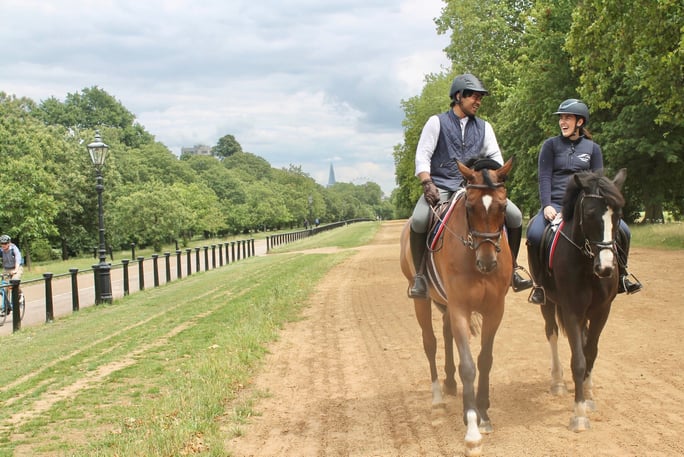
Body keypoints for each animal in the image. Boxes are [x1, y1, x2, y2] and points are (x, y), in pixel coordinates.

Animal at [400, 157, 513, 457]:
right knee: (430, 343)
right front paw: (472, 428)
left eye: (502, 206)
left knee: (446, 333)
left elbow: (485, 360)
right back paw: (438, 397)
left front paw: (483, 414)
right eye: (470, 207)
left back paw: (451, 385)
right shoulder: (461, 307)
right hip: (422, 300)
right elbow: (468, 366)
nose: (487, 262)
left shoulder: (494, 310)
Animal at [532, 168, 627, 432]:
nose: (606, 268)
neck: (586, 262)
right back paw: (557, 382)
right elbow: (579, 360)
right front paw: (579, 415)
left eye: (618, 215)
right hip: (548, 302)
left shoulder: (602, 311)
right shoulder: (571, 310)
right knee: (552, 333)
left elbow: (590, 352)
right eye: (590, 214)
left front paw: (587, 395)